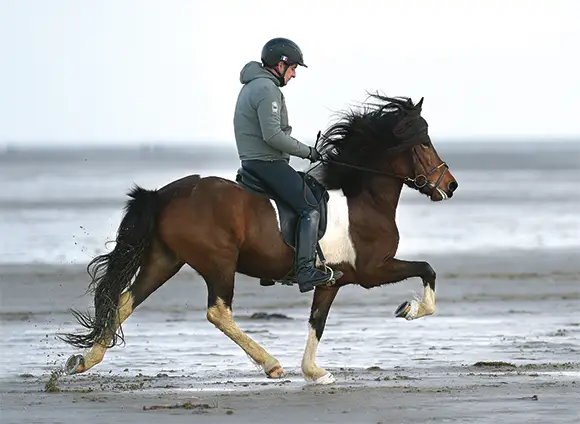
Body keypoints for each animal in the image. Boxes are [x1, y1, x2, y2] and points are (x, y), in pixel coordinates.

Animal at [59, 93, 458, 384]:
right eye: (424, 143)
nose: (450, 186)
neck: (364, 199)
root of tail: (163, 194)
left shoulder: (332, 280)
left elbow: (317, 321)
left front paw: (314, 372)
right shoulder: (373, 271)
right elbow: (427, 269)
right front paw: (409, 309)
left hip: (165, 260)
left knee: (125, 300)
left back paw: (84, 360)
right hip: (218, 262)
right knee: (218, 312)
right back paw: (270, 363)